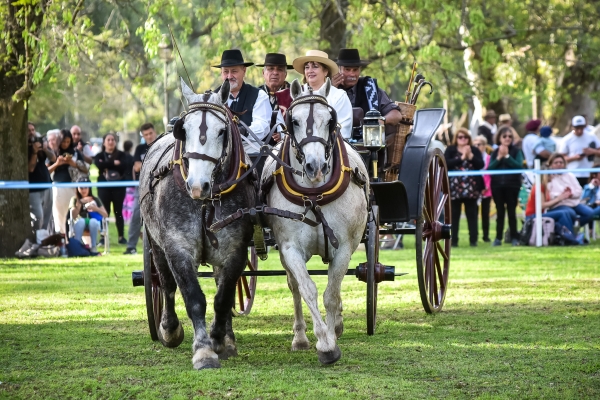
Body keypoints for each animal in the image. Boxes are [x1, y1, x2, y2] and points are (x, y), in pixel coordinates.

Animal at [141, 79, 255, 370]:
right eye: (184, 130)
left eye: (222, 131)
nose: (197, 185)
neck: (204, 203)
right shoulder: (177, 247)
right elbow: (193, 297)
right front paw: (203, 350)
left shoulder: (235, 250)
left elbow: (223, 298)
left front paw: (218, 340)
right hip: (155, 243)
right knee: (166, 283)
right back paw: (168, 328)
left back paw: (227, 336)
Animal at [262, 79, 370, 366]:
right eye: (294, 121)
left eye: (330, 120)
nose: (315, 166)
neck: (314, 194)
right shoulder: (289, 248)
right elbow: (307, 289)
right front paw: (324, 342)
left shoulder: (344, 247)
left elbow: (331, 293)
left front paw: (332, 336)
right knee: (294, 287)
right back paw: (300, 337)